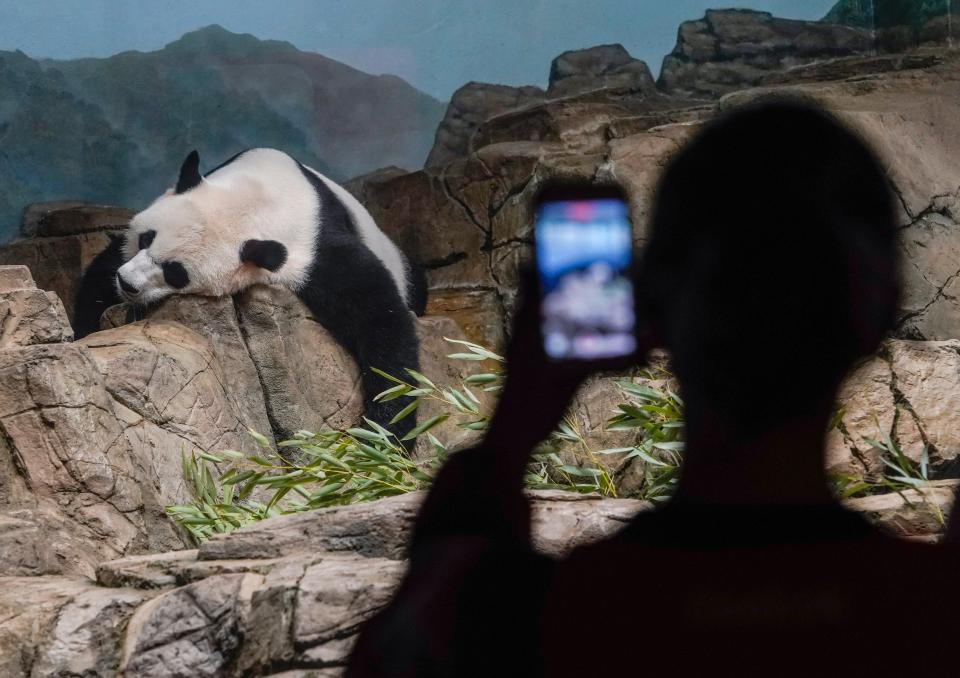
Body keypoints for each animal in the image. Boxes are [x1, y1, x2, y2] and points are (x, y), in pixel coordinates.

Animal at [77, 147, 430, 440]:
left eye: (176, 272)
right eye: (147, 238)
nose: (128, 284)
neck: (258, 198)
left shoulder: (314, 251)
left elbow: (380, 318)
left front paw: (382, 435)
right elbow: (103, 269)